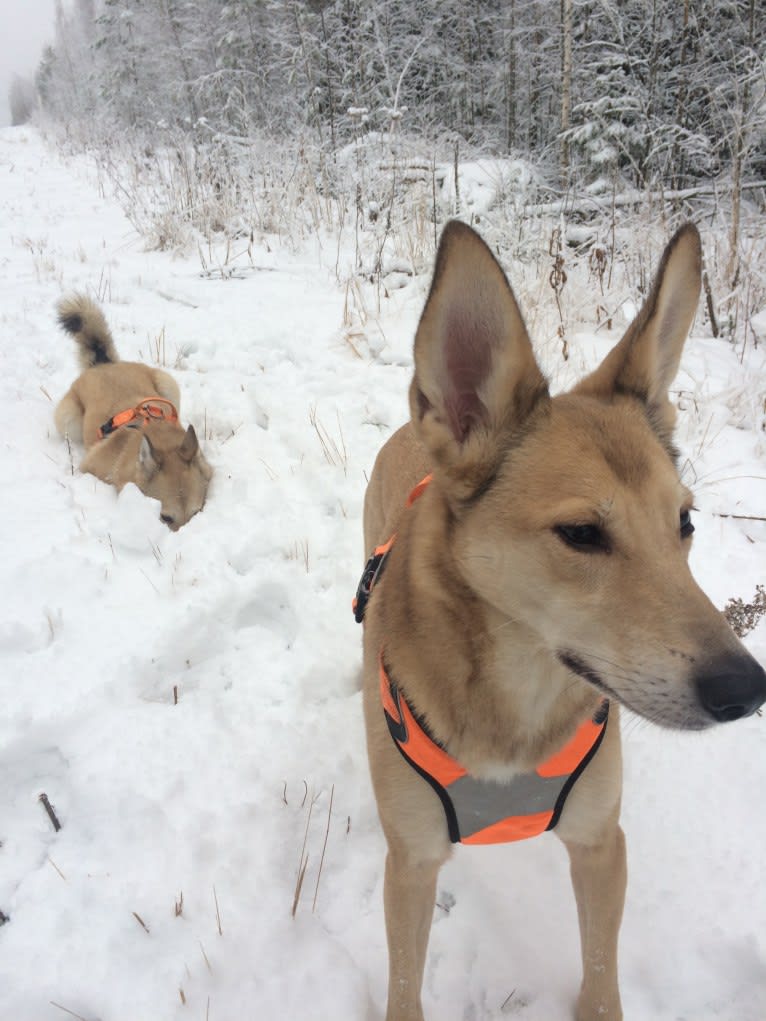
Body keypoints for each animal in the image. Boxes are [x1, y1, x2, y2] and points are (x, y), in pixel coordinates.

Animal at [54, 294, 211, 526]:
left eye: (196, 513)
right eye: (165, 518)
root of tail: (103, 365)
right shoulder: (89, 468)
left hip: (168, 385)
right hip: (68, 421)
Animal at [361, 223, 766, 1021]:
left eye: (685, 522)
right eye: (581, 534)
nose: (745, 690)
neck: (516, 698)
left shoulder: (601, 843)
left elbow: (602, 975)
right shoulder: (412, 865)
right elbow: (402, 985)